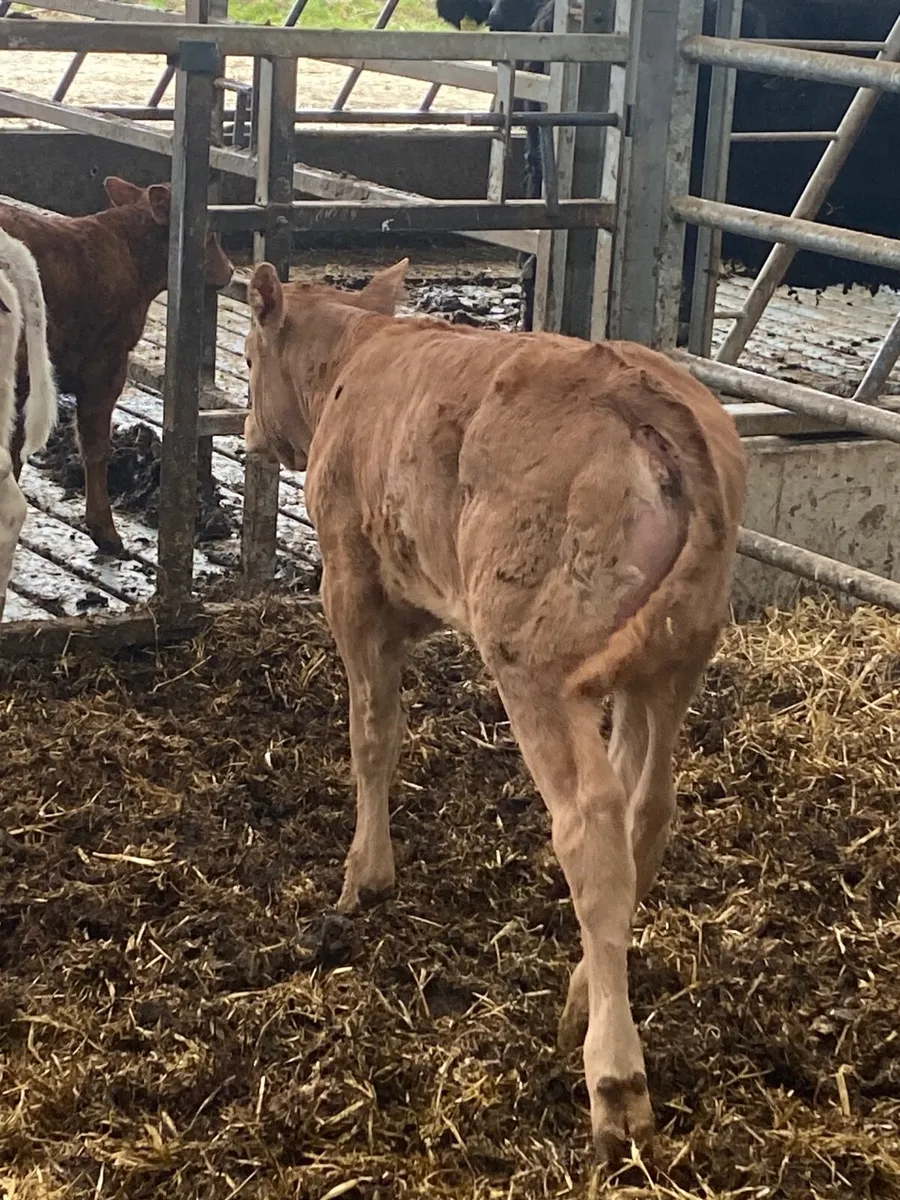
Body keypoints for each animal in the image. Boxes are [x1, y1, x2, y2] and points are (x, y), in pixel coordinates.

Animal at [241, 258, 747, 1161]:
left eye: (247, 349)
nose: (243, 427)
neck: (354, 361)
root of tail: (644, 392)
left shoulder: (350, 585)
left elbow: (373, 733)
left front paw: (365, 875)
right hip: (671, 660)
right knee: (646, 810)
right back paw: (584, 988)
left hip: (534, 666)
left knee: (591, 827)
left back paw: (614, 1078)